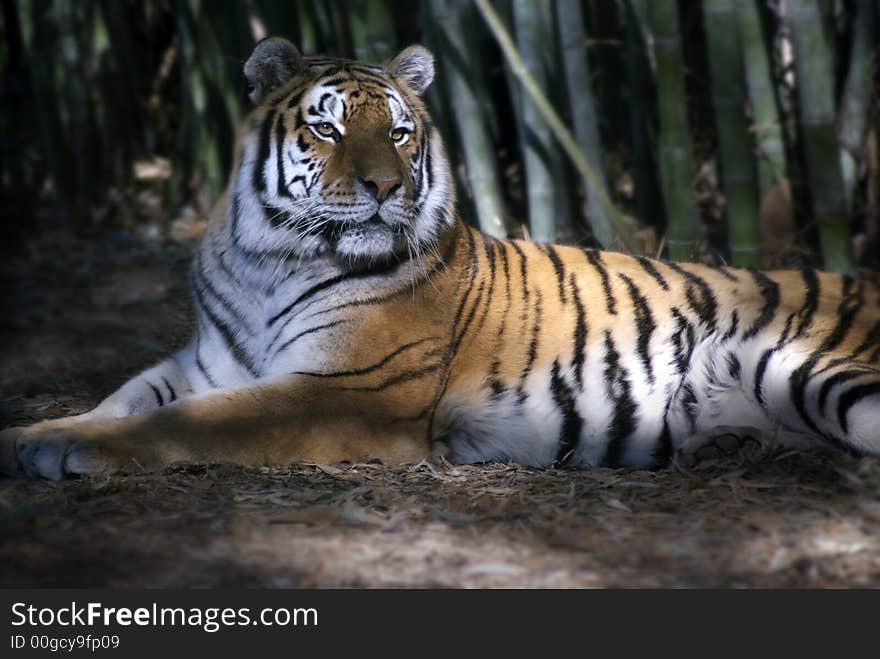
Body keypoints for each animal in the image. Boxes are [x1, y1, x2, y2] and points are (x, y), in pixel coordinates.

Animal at [1, 36, 880, 480]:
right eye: (326, 128)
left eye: (397, 131)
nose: (386, 186)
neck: (269, 257)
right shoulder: (208, 359)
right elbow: (125, 397)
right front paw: (30, 433)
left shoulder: (347, 390)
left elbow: (190, 421)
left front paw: (69, 451)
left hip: (817, 367)